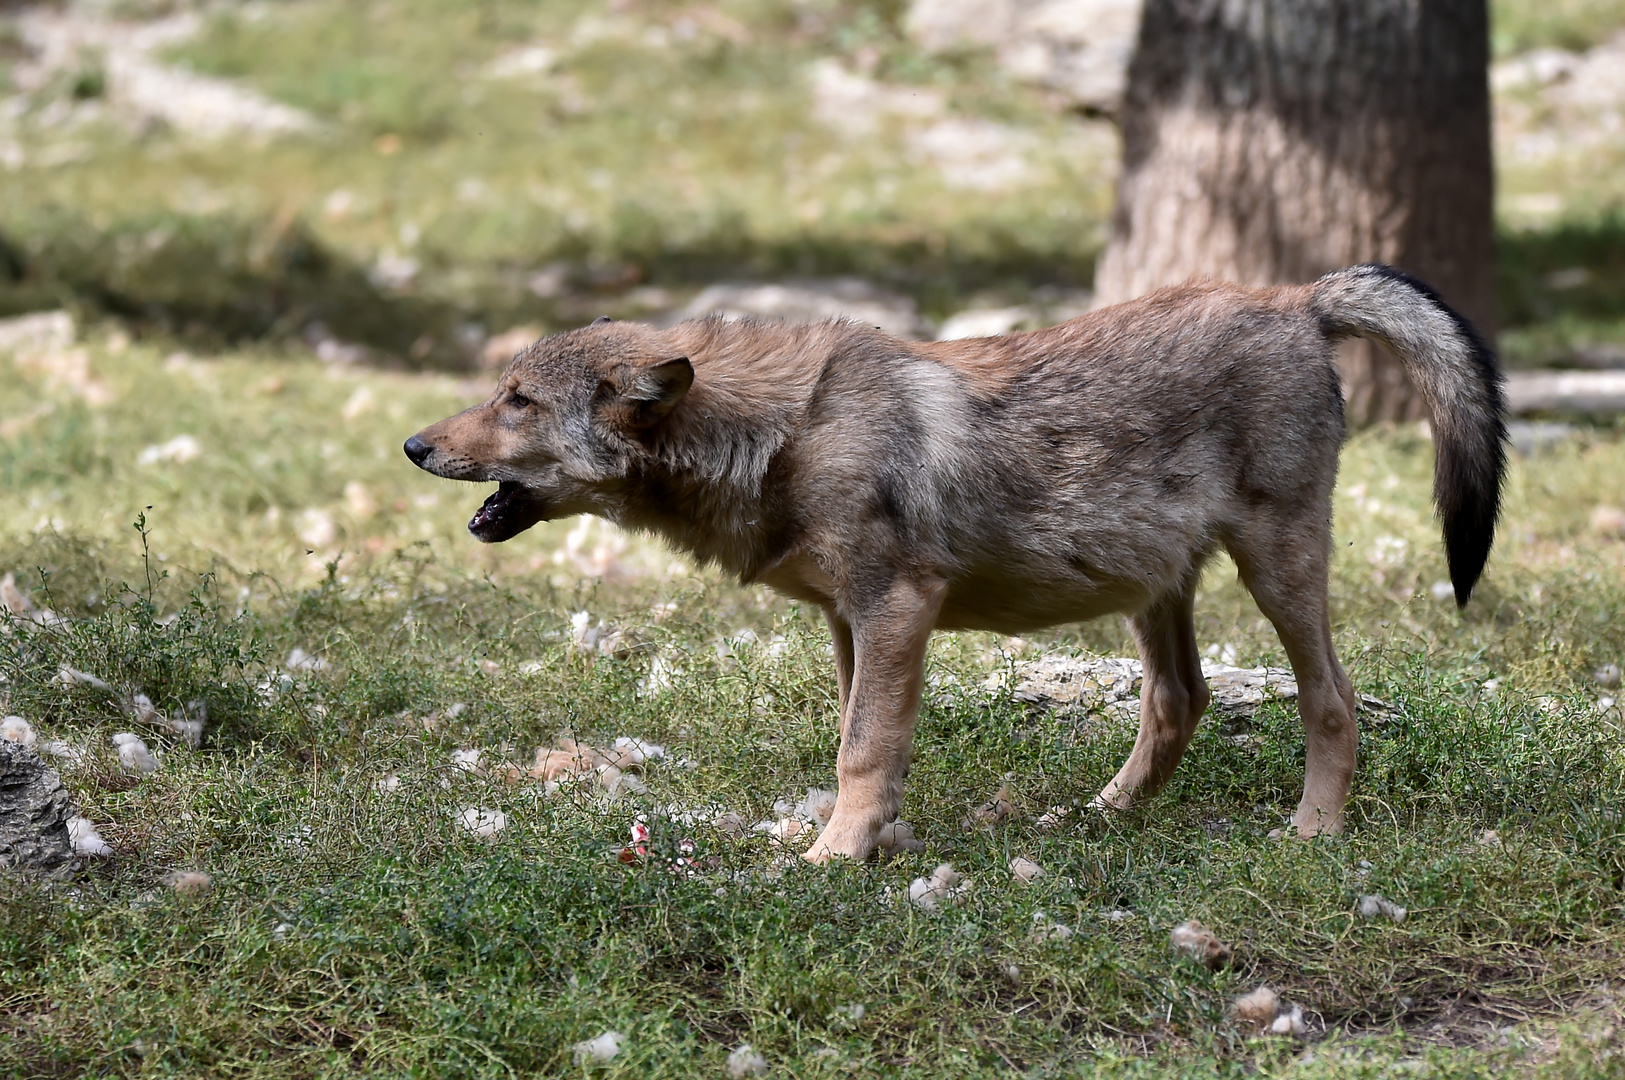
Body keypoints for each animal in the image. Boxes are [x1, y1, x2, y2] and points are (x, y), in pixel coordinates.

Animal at [406, 264, 1508, 864]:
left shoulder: (895, 608)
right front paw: (858, 842)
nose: (413, 445)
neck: (782, 436)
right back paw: (1094, 819)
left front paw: (832, 857)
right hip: (1153, 592)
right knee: (1179, 701)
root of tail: (1297, 298)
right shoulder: (846, 623)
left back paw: (1311, 834)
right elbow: (857, 744)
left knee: (1331, 701)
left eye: (516, 401)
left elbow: (862, 747)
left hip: (1273, 574)